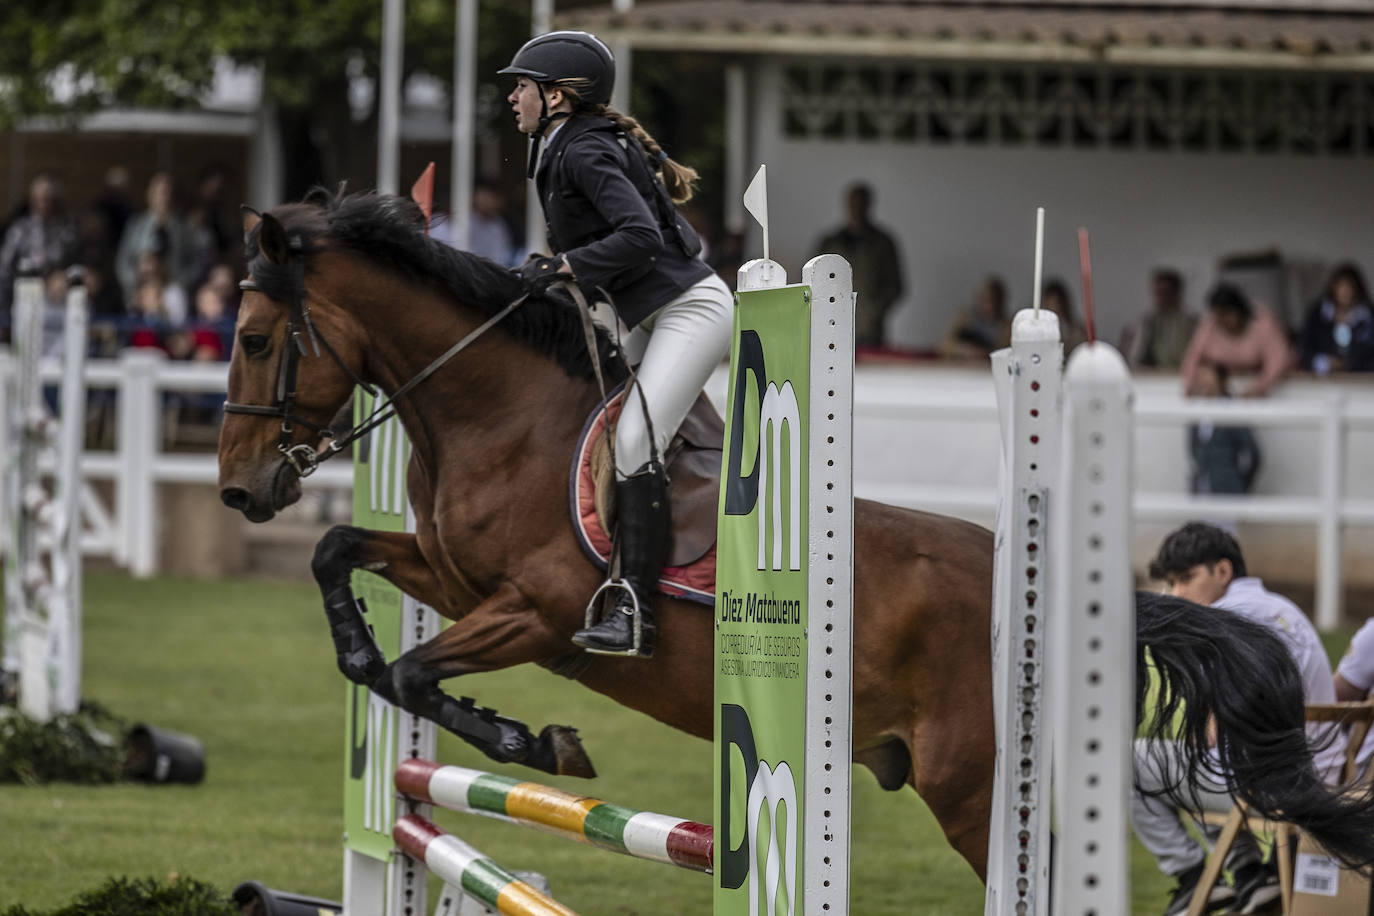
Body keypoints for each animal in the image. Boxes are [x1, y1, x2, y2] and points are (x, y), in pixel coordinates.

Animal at [217, 189, 1374, 884]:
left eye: (256, 338)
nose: (237, 490)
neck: (498, 416)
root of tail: (1040, 589)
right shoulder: (453, 580)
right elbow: (343, 571)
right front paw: (382, 663)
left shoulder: (534, 610)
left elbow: (419, 674)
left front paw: (534, 743)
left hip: (975, 787)